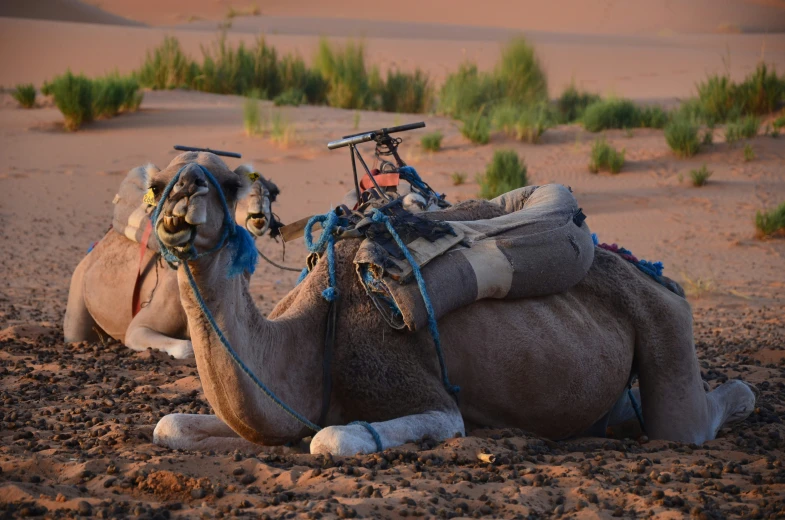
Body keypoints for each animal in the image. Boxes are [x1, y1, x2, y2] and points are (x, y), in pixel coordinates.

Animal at [145, 151, 752, 456]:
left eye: (226, 181)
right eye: (154, 187)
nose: (183, 195)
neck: (308, 338)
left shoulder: (425, 398)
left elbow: (331, 438)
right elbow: (168, 426)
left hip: (663, 317)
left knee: (687, 423)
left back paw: (742, 397)